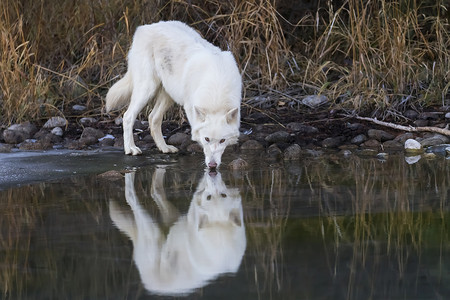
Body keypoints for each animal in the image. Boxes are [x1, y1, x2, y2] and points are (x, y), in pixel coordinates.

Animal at [105, 20, 241, 169]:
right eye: (207, 139)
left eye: (223, 140)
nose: (212, 165)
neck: (216, 91)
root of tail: (143, 28)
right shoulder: (190, 108)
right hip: (147, 88)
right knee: (128, 116)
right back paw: (130, 148)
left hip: (168, 95)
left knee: (153, 118)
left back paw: (164, 148)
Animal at [111, 169, 248, 296]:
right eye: (209, 197)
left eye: (223, 195)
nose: (213, 178)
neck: (220, 231)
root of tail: (148, 284)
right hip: (153, 233)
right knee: (130, 196)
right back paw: (131, 172)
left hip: (171, 224)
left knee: (154, 192)